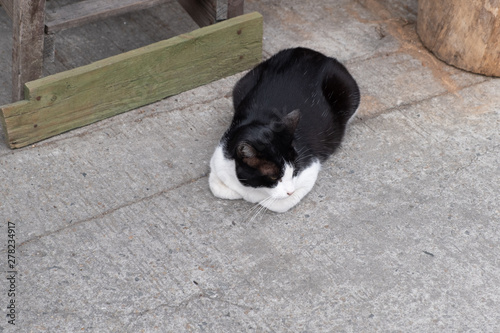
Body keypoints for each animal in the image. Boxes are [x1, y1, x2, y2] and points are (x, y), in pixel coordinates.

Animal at [208, 46, 360, 211]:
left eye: (294, 170)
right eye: (274, 176)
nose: (290, 191)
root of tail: (313, 53)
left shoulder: (309, 165)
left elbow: (278, 203)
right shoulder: (219, 158)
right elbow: (216, 186)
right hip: (242, 84)